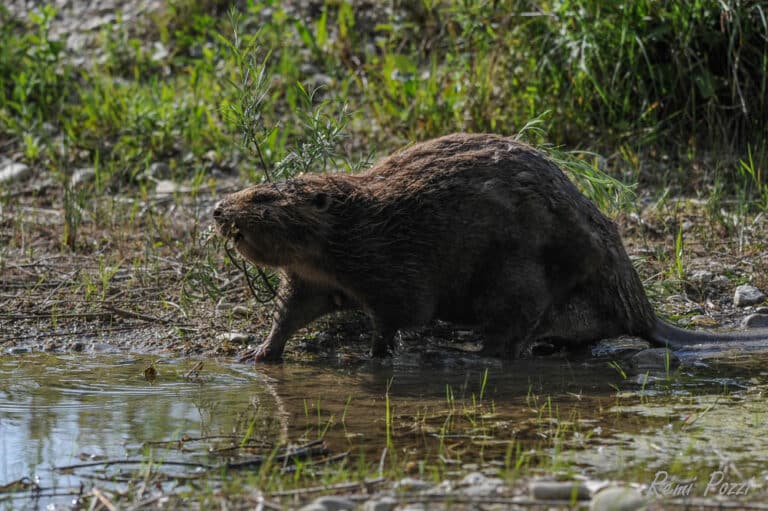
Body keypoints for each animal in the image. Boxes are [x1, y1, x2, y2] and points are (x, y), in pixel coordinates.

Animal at [214, 134, 768, 362]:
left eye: (263, 197)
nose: (218, 209)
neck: (359, 221)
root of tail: (645, 312)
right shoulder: (313, 275)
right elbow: (291, 310)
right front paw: (259, 354)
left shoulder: (394, 261)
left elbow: (401, 313)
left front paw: (376, 353)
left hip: (519, 276)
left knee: (517, 329)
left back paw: (479, 355)